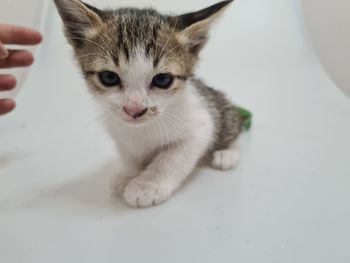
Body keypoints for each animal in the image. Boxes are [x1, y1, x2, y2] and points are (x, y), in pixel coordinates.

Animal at [54, 0, 246, 208]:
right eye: (109, 77)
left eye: (162, 79)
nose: (134, 109)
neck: (141, 129)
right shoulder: (118, 132)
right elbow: (129, 155)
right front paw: (129, 175)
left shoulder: (201, 124)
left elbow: (172, 158)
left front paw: (147, 185)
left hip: (220, 108)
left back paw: (227, 154)